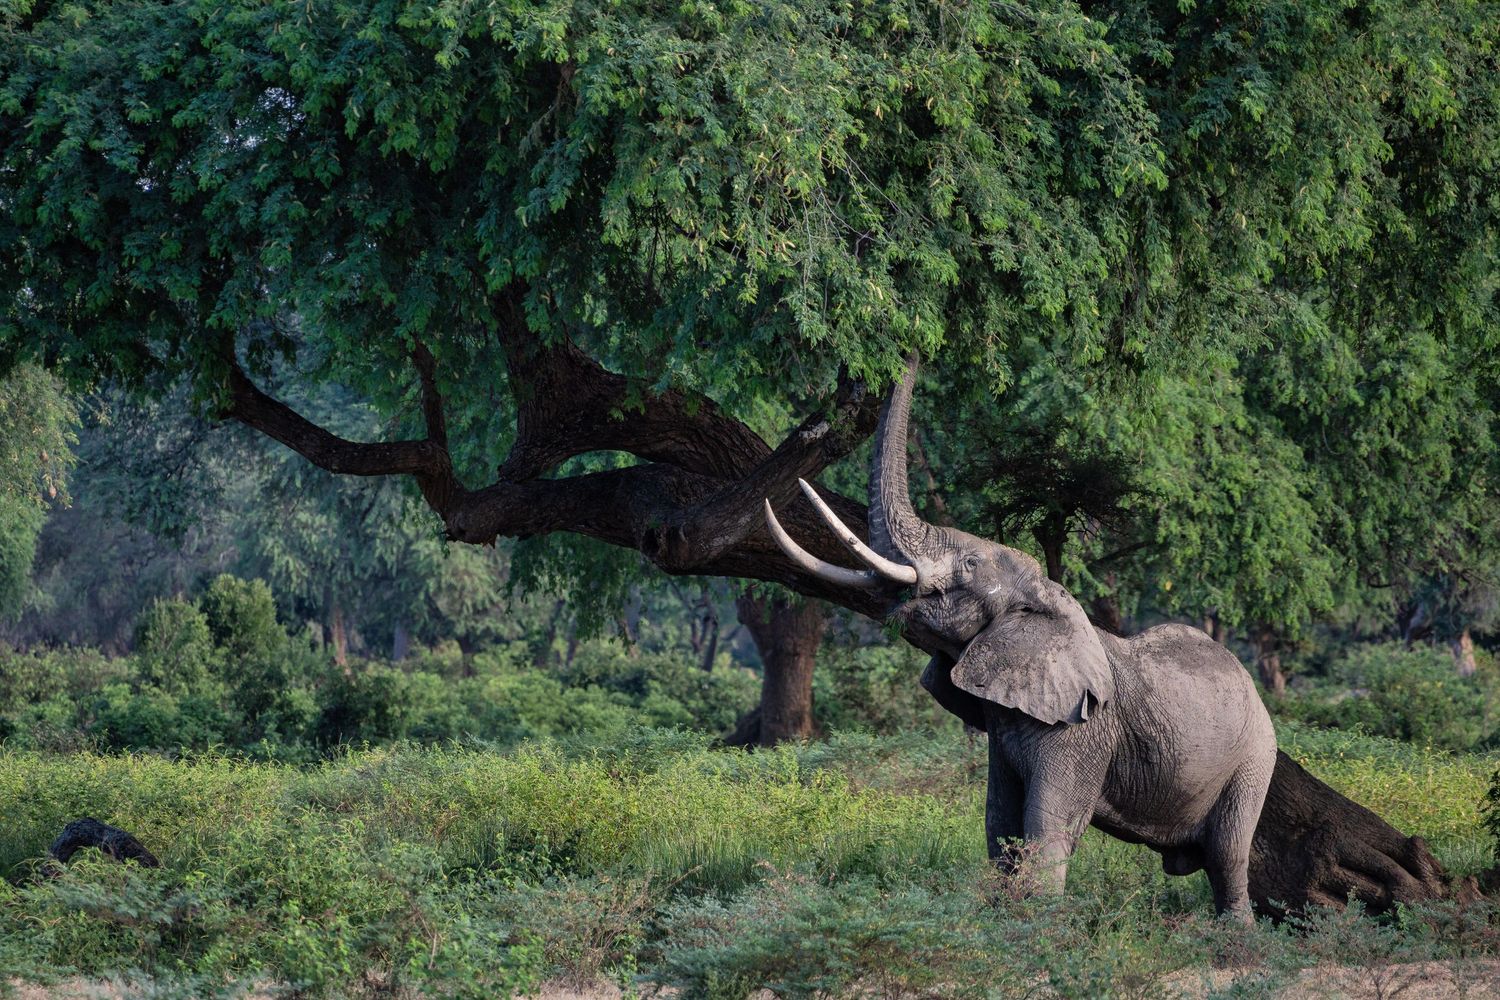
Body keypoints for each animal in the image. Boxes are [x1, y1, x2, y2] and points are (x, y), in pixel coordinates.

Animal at [763, 359, 1277, 922]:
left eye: (969, 563)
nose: (915, 354)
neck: (1048, 597)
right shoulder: (1005, 722)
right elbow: (998, 820)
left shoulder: (1083, 729)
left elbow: (1048, 826)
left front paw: (1037, 923)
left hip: (1254, 759)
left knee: (1228, 854)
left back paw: (1233, 933)